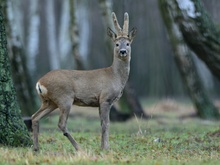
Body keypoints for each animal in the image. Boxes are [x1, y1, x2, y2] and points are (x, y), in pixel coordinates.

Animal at [31, 11, 137, 151]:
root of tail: (40, 82)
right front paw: (106, 148)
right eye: (117, 44)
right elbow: (106, 124)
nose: (123, 51)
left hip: (49, 102)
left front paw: (102, 147)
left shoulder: (100, 102)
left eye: (128, 43)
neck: (115, 77)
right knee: (61, 123)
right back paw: (78, 148)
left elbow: (102, 123)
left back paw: (36, 148)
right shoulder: (105, 98)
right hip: (64, 98)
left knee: (34, 117)